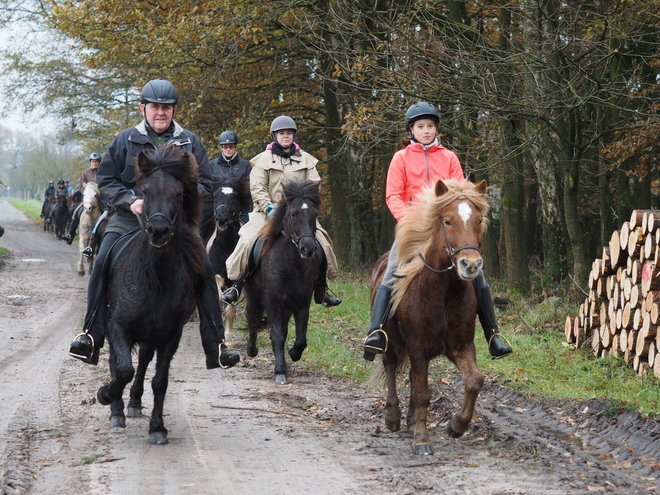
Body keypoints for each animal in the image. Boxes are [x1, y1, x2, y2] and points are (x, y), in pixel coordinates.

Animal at [95, 144, 206, 446]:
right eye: (144, 192)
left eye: (178, 194)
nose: (158, 231)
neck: (156, 276)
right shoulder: (118, 325)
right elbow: (122, 369)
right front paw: (106, 395)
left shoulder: (170, 334)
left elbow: (160, 380)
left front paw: (157, 427)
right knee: (118, 363)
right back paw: (118, 410)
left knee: (144, 361)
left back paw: (133, 402)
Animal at [208, 170, 251, 338]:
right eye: (215, 196)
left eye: (234, 197)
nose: (222, 218)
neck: (225, 246)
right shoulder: (216, 276)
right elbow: (219, 301)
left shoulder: (238, 277)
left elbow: (230, 305)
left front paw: (228, 337)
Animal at [245, 180, 322, 386]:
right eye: (293, 213)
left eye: (315, 214)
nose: (308, 248)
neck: (291, 264)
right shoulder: (272, 302)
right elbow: (277, 336)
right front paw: (279, 371)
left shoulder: (302, 303)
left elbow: (300, 339)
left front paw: (293, 353)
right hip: (253, 297)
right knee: (253, 319)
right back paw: (251, 350)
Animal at [372, 178, 490, 458]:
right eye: (447, 221)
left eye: (479, 220)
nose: (470, 265)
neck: (443, 291)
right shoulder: (416, 345)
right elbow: (423, 393)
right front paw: (422, 440)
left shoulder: (461, 345)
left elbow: (474, 381)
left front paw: (457, 425)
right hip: (391, 342)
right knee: (390, 366)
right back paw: (393, 417)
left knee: (412, 378)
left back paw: (411, 418)